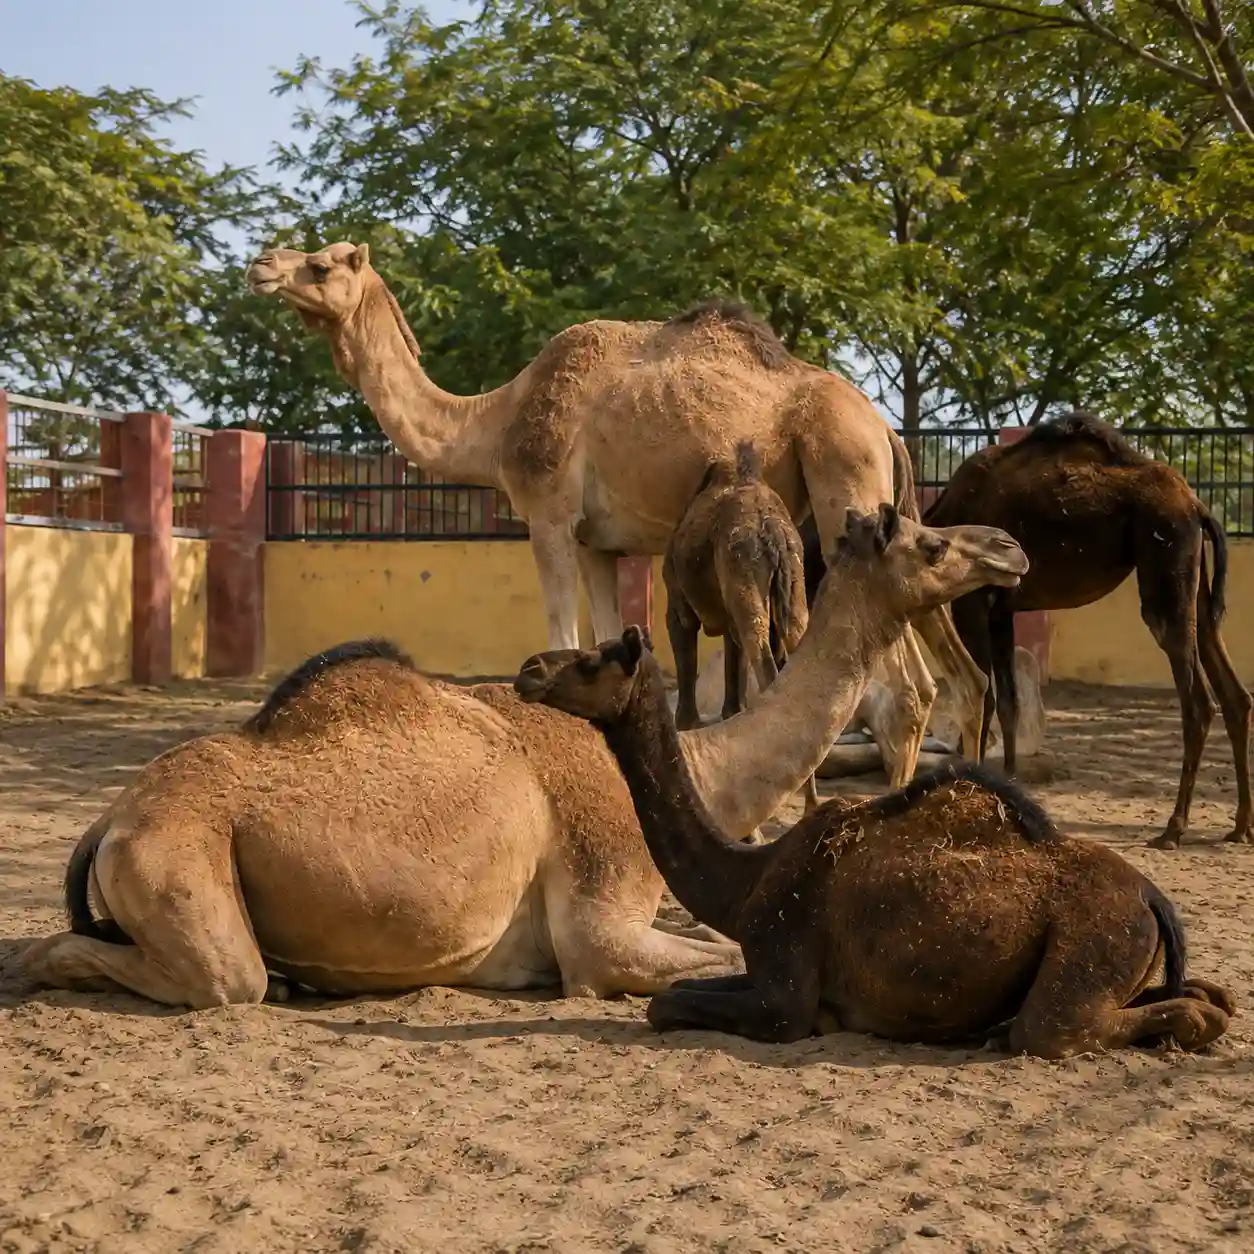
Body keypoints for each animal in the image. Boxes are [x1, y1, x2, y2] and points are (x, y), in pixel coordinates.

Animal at [15, 512, 1025, 1010]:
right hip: (180, 868)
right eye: (931, 542)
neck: (708, 769)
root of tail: (112, 820)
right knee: (189, 973)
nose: (1009, 549)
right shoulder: (599, 925)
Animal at [514, 622, 1236, 1059]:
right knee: (1204, 994)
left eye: (594, 660)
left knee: (1063, 1026)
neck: (747, 882)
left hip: (1090, 946)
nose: (528, 668)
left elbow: (667, 1004)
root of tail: (1152, 900)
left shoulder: (783, 988)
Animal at [662, 440, 817, 810]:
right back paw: (811, 803)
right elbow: (734, 669)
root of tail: (775, 533)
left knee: (766, 664)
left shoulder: (678, 603)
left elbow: (686, 654)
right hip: (791, 580)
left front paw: (685, 725)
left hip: (743, 568)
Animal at [923, 411, 1252, 849]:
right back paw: (1240, 826)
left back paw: (1173, 829)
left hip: (1167, 561)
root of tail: (1199, 506)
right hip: (1195, 585)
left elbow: (983, 693)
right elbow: (1010, 701)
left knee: (1198, 702)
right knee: (1235, 693)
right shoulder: (1003, 610)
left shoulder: (972, 601)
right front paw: (1009, 785)